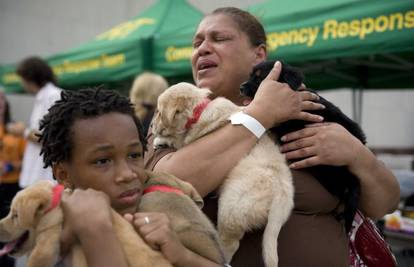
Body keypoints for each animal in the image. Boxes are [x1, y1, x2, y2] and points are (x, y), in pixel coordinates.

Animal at [152, 82, 294, 266]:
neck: (198, 111)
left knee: (230, 243)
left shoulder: (191, 142)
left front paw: (160, 140)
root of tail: (281, 193)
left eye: (159, 112)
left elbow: (178, 140)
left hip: (231, 208)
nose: (151, 127)